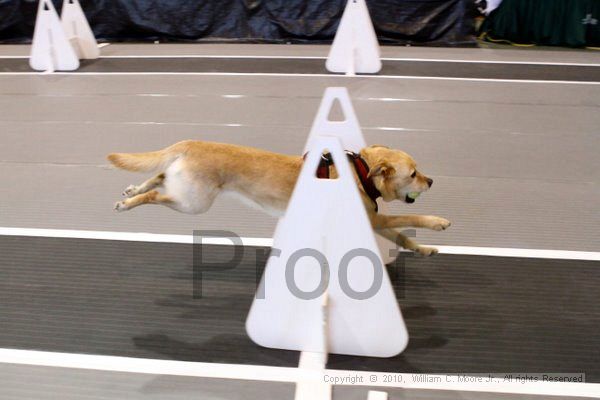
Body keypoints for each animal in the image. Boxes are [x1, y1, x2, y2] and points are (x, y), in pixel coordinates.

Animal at [109, 141, 450, 256]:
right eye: (414, 173)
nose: (432, 180)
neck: (362, 173)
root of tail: (189, 143)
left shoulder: (374, 220)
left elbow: (402, 236)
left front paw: (424, 249)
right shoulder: (375, 218)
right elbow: (409, 218)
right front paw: (438, 221)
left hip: (186, 191)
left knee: (160, 175)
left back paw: (131, 190)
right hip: (194, 203)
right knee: (157, 192)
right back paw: (129, 203)